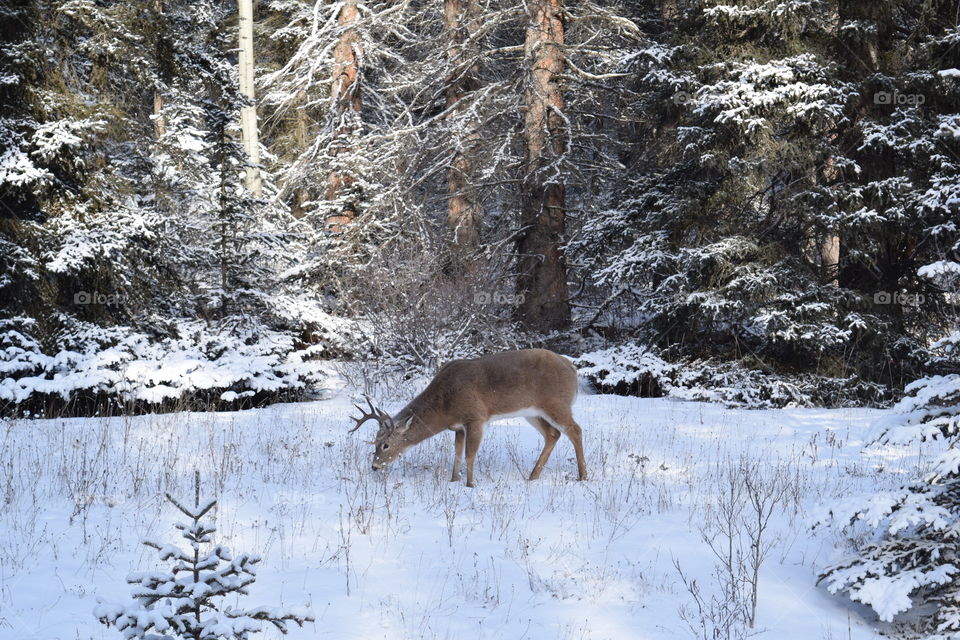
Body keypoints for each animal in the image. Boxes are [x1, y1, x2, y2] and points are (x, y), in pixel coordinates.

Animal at [348, 348, 587, 487]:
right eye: (375, 442)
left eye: (385, 444)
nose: (375, 466)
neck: (445, 406)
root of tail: (572, 368)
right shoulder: (458, 426)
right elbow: (457, 453)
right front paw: (454, 480)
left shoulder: (476, 417)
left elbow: (470, 454)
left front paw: (470, 485)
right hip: (532, 412)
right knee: (553, 434)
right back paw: (532, 476)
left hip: (556, 403)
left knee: (575, 430)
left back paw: (583, 475)